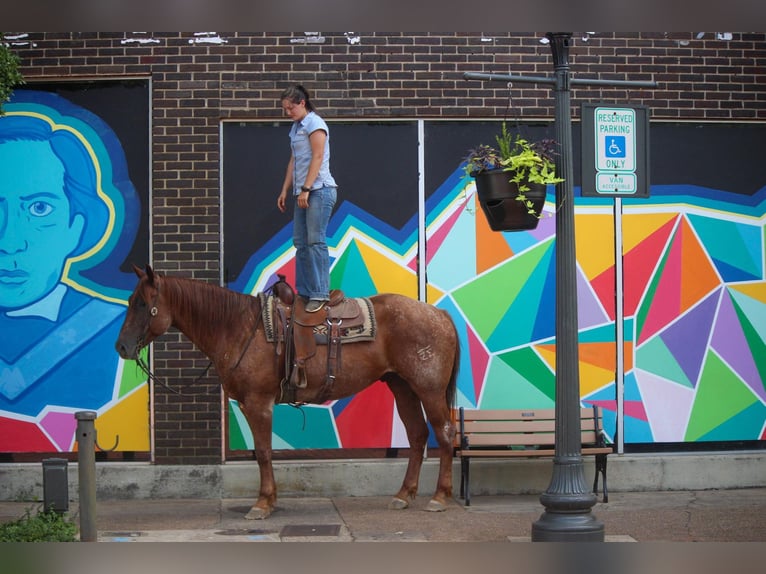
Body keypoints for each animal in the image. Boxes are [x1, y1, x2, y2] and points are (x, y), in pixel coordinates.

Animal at [115, 266, 462, 520]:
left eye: (143, 303)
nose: (122, 347)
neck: (238, 327)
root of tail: (439, 315)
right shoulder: (250, 404)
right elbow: (263, 451)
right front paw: (269, 500)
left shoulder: (258, 403)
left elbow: (263, 452)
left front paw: (262, 504)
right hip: (402, 387)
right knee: (417, 435)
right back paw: (403, 495)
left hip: (429, 389)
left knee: (444, 433)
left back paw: (439, 497)